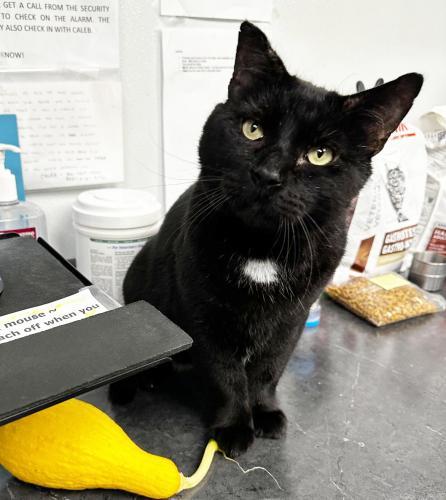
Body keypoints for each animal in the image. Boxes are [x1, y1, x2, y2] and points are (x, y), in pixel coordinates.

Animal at [116, 20, 422, 458]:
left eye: (320, 154)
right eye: (252, 129)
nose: (268, 175)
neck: (263, 250)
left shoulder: (292, 319)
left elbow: (268, 370)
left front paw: (264, 413)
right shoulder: (205, 317)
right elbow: (226, 375)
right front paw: (233, 426)